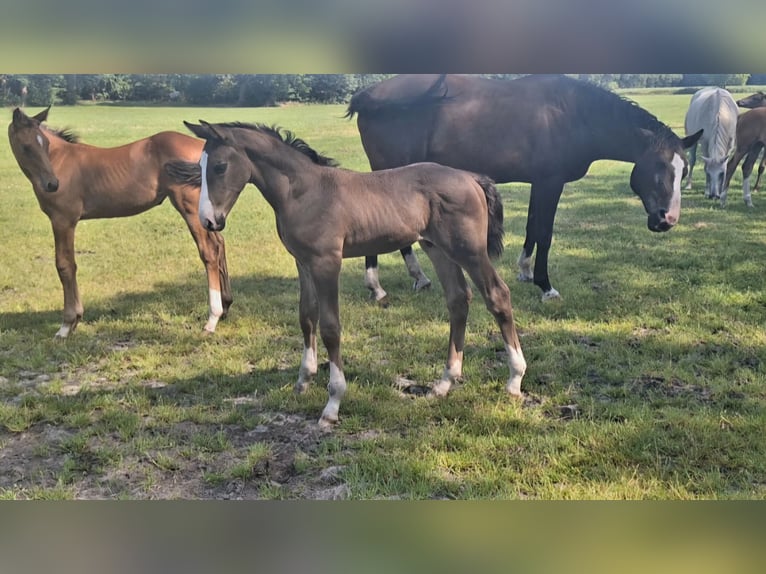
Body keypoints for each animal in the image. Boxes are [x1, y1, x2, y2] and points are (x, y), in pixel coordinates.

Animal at [7, 107, 232, 338]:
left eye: (44, 144)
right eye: (27, 147)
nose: (52, 184)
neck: (60, 161)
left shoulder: (63, 220)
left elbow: (65, 265)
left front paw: (67, 325)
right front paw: (75, 320)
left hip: (190, 208)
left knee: (209, 251)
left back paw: (212, 318)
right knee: (219, 243)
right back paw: (225, 306)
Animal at [169, 120, 528, 428]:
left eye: (219, 166)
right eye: (200, 168)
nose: (209, 221)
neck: (303, 192)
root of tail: (471, 178)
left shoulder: (327, 262)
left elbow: (330, 327)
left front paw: (332, 404)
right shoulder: (303, 262)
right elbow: (306, 317)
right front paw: (303, 380)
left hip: (469, 250)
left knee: (497, 295)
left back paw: (514, 380)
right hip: (436, 247)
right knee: (458, 300)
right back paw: (444, 383)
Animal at [344, 74, 704, 304]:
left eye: (684, 170)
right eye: (658, 168)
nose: (667, 220)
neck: (574, 115)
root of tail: (369, 96)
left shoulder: (539, 183)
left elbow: (533, 228)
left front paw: (525, 272)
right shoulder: (550, 182)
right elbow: (544, 233)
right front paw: (546, 287)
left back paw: (416, 277)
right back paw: (378, 286)